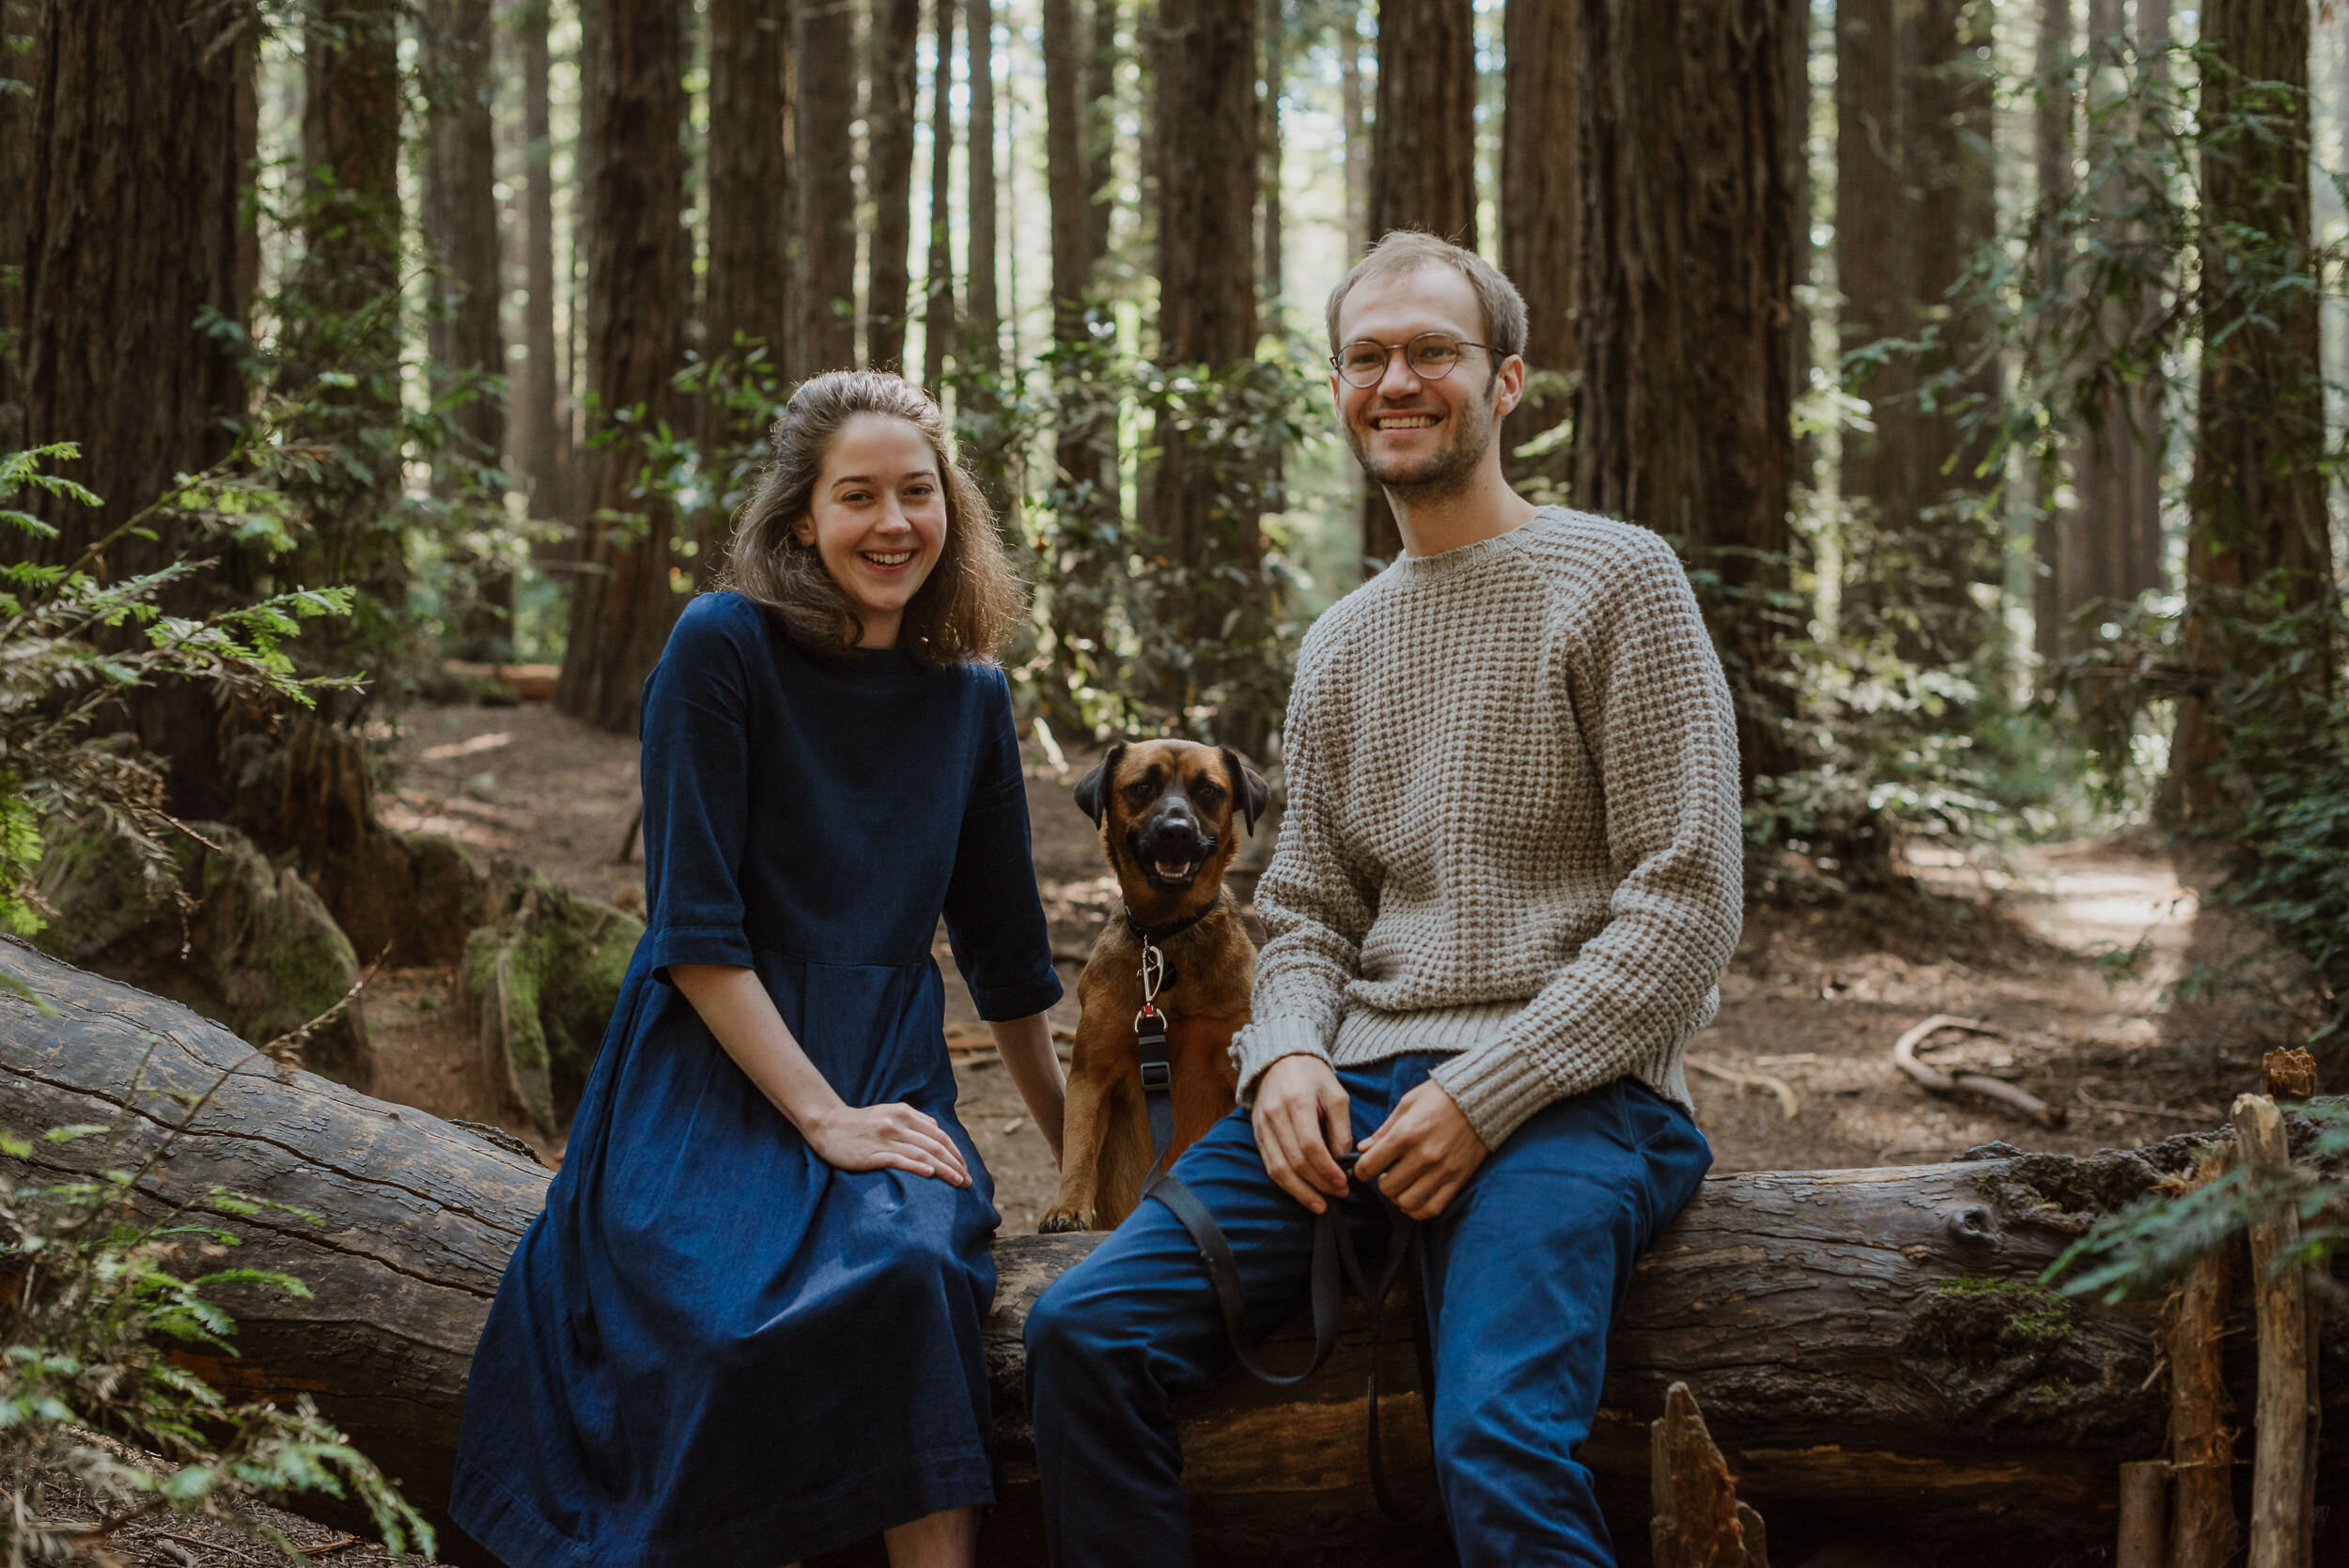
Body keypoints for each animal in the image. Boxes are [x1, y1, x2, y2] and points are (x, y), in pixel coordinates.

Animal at [1038, 737, 1268, 1239]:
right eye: (1142, 787)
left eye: (1208, 791)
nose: (1176, 832)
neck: (1166, 942)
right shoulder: (1090, 1075)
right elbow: (1080, 1150)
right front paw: (1068, 1208)